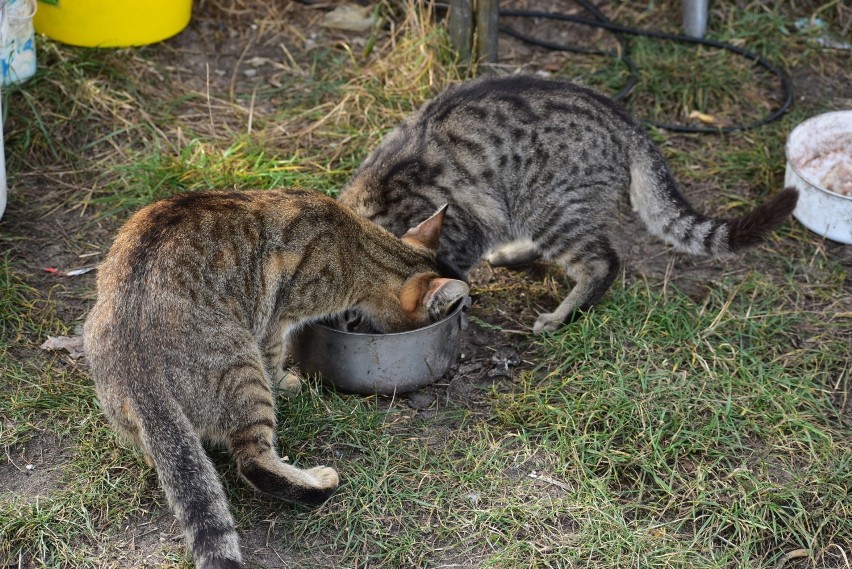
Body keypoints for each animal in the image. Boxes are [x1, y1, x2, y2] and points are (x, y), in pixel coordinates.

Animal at [83, 190, 470, 568]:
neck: (360, 246)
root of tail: (141, 376)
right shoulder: (276, 319)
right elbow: (276, 353)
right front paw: (288, 379)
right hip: (243, 370)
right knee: (254, 460)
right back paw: (318, 481)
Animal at [338, 74, 800, 332]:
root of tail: (623, 118)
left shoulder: (464, 226)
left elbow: (454, 268)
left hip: (547, 204)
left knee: (600, 261)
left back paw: (562, 315)